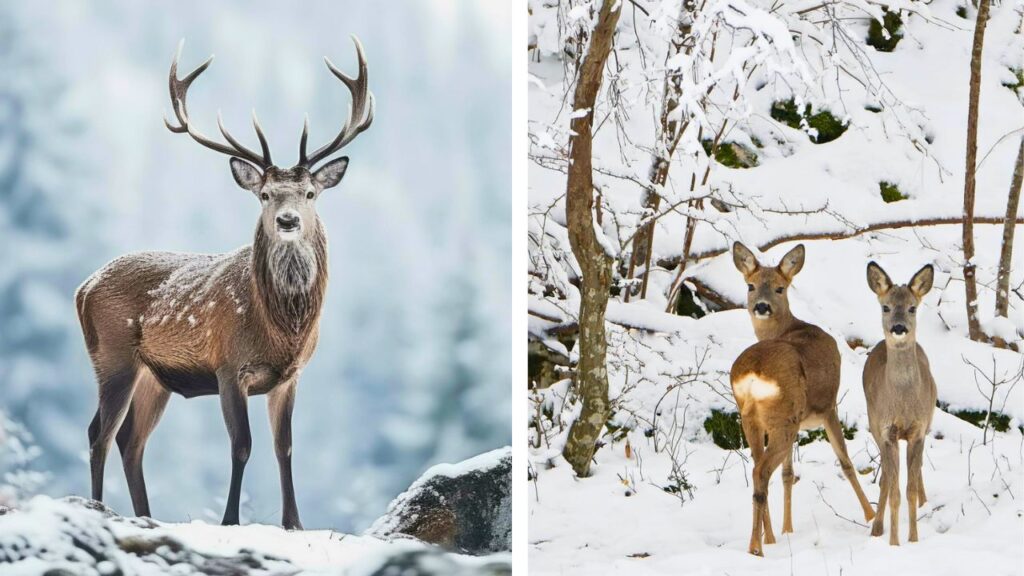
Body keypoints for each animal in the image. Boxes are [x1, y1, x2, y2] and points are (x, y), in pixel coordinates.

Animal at [75, 38, 374, 528]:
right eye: (265, 194)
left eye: (310, 194)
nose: (288, 220)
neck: (281, 330)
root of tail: (83, 288)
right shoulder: (229, 365)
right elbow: (242, 446)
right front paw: (230, 519)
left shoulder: (291, 376)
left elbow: (284, 447)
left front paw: (294, 522)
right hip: (112, 355)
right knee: (99, 432)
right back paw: (100, 507)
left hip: (154, 376)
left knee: (130, 440)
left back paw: (146, 515)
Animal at [729, 240, 872, 553]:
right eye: (750, 285)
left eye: (780, 288)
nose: (761, 306)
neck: (792, 327)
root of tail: (755, 373)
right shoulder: (828, 406)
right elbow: (846, 462)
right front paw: (871, 516)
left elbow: (787, 474)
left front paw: (786, 530)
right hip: (784, 417)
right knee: (761, 471)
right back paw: (756, 548)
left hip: (753, 418)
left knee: (759, 468)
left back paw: (765, 540)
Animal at [864, 260, 937, 541]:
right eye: (885, 307)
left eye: (912, 307)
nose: (898, 327)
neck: (904, 404)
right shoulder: (887, 432)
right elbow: (895, 491)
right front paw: (894, 543)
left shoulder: (918, 431)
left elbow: (910, 490)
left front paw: (913, 539)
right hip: (874, 425)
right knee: (885, 476)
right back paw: (876, 528)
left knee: (916, 473)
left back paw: (925, 503)